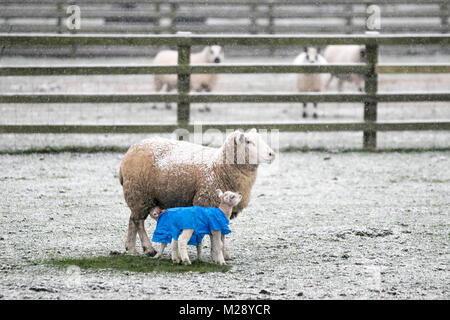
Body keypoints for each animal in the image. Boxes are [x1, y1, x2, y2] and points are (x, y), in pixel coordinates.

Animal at [118, 129, 274, 258]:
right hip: (139, 193)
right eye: (248, 142)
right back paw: (148, 248)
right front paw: (219, 253)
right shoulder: (208, 202)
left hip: (137, 196)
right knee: (138, 222)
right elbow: (218, 234)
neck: (220, 166)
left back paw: (131, 248)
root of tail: (130, 150)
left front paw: (224, 254)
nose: (272, 154)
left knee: (132, 219)